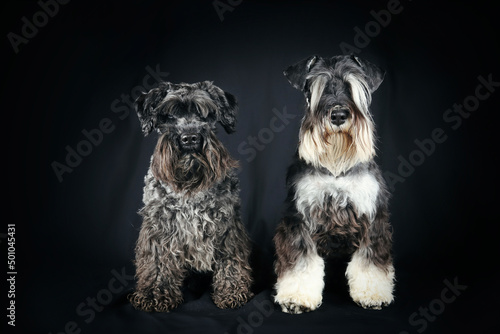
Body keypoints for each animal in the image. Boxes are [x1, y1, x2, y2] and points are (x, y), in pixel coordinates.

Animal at [129, 80, 254, 310]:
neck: (189, 185)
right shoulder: (159, 227)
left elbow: (230, 259)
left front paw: (232, 292)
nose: (189, 138)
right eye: (168, 115)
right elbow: (157, 262)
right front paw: (154, 295)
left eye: (206, 114)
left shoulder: (227, 227)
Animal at [274, 54, 394, 314]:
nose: (338, 115)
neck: (336, 168)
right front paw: (296, 298)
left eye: (353, 87)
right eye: (317, 88)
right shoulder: (299, 218)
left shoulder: (372, 217)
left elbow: (370, 261)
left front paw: (373, 294)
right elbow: (301, 262)